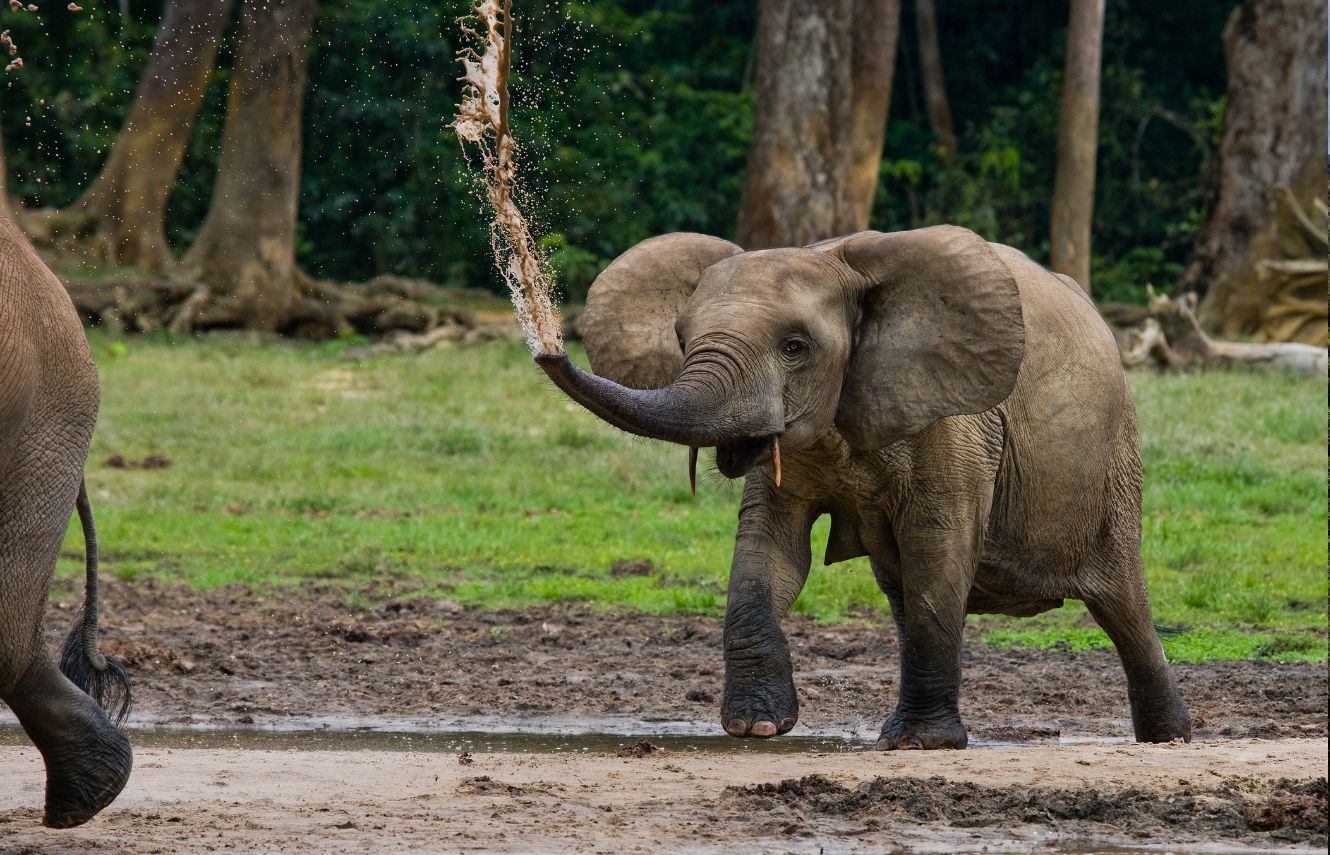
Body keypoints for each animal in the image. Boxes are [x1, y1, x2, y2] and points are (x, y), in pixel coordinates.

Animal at [537, 226, 1197, 749]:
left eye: (796, 347)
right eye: (680, 339)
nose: (545, 344)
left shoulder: (954, 418)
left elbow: (939, 543)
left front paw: (918, 746)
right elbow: (767, 552)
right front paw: (756, 728)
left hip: (1115, 462)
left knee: (1121, 602)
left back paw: (1169, 738)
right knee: (902, 590)